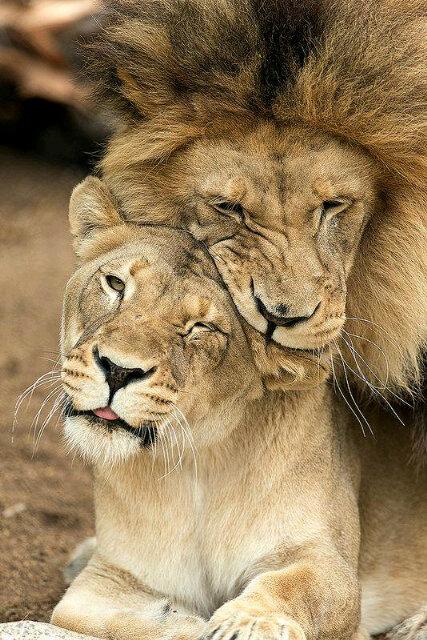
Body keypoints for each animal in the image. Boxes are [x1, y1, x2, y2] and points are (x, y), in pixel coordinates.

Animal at [51, 177, 426, 640]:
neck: (196, 462)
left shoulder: (328, 566)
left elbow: (295, 586)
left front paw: (246, 622)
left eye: (201, 327)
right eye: (116, 284)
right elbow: (112, 619)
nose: (119, 370)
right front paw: (183, 621)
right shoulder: (106, 581)